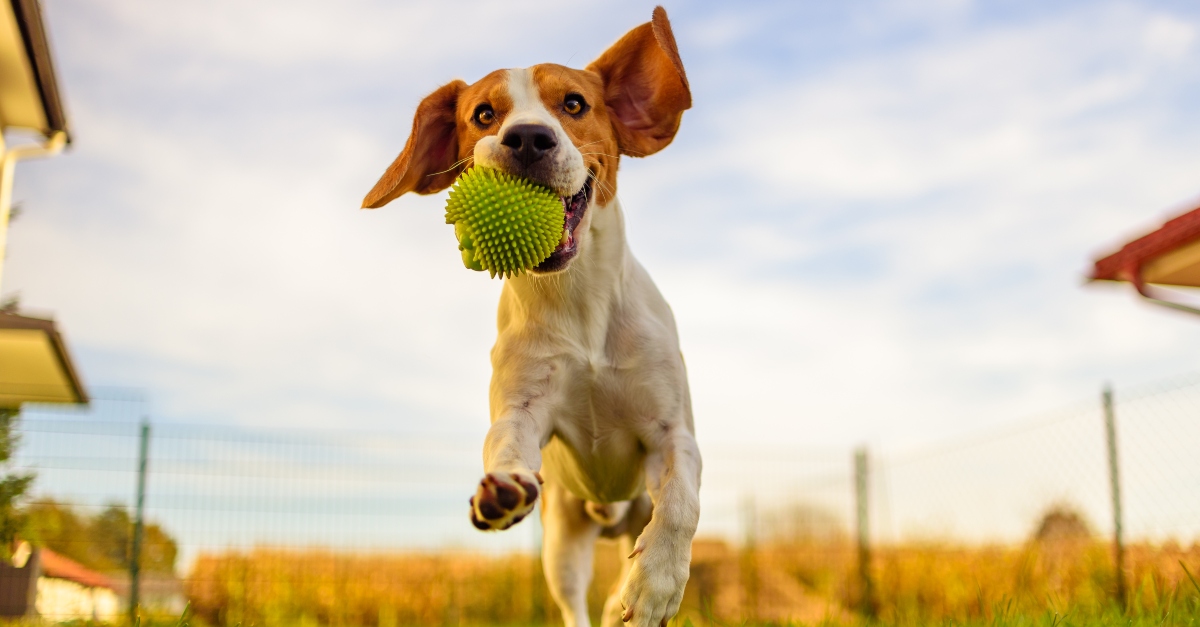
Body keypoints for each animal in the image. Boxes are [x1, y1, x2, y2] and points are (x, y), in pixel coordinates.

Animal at [360, 9, 700, 624]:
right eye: (484, 114)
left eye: (574, 104)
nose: (526, 137)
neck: (577, 301)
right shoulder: (522, 409)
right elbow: (505, 443)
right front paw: (501, 488)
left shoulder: (673, 433)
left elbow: (682, 503)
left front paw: (655, 584)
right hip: (562, 543)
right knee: (575, 605)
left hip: (631, 509)